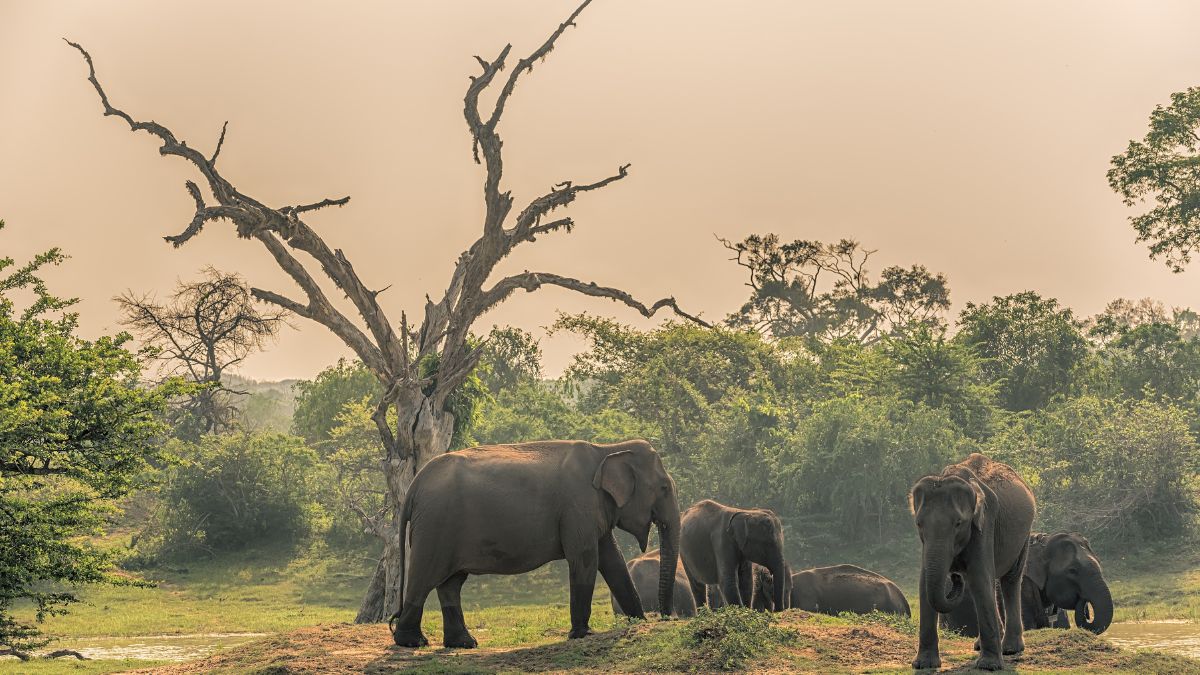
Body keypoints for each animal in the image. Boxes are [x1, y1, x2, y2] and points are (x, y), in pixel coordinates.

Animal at [388, 437, 681, 648]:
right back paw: (413, 642)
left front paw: (638, 622)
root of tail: (415, 484)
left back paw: (464, 644)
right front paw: (583, 634)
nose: (667, 617)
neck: (608, 449)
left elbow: (612, 560)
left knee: (451, 583)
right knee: (425, 577)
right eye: (664, 488)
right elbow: (585, 558)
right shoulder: (578, 506)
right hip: (435, 526)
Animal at [907, 451, 1032, 667]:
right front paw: (924, 665)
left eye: (958, 523)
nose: (955, 575)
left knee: (1010, 580)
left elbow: (980, 578)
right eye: (919, 524)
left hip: (1024, 534)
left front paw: (989, 666)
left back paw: (1010, 649)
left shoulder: (985, 523)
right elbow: (924, 583)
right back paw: (982, 646)